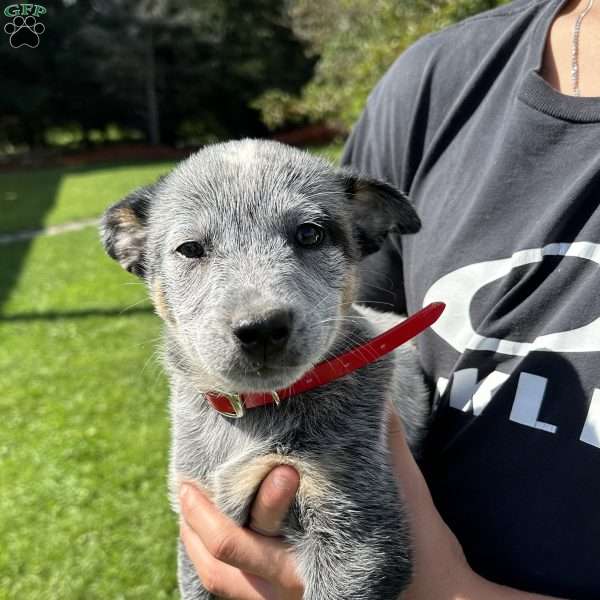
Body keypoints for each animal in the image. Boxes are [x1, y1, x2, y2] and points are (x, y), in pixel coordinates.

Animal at [102, 138, 432, 596]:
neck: (251, 415)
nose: (261, 328)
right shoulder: (192, 520)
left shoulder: (357, 536)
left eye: (310, 234)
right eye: (190, 248)